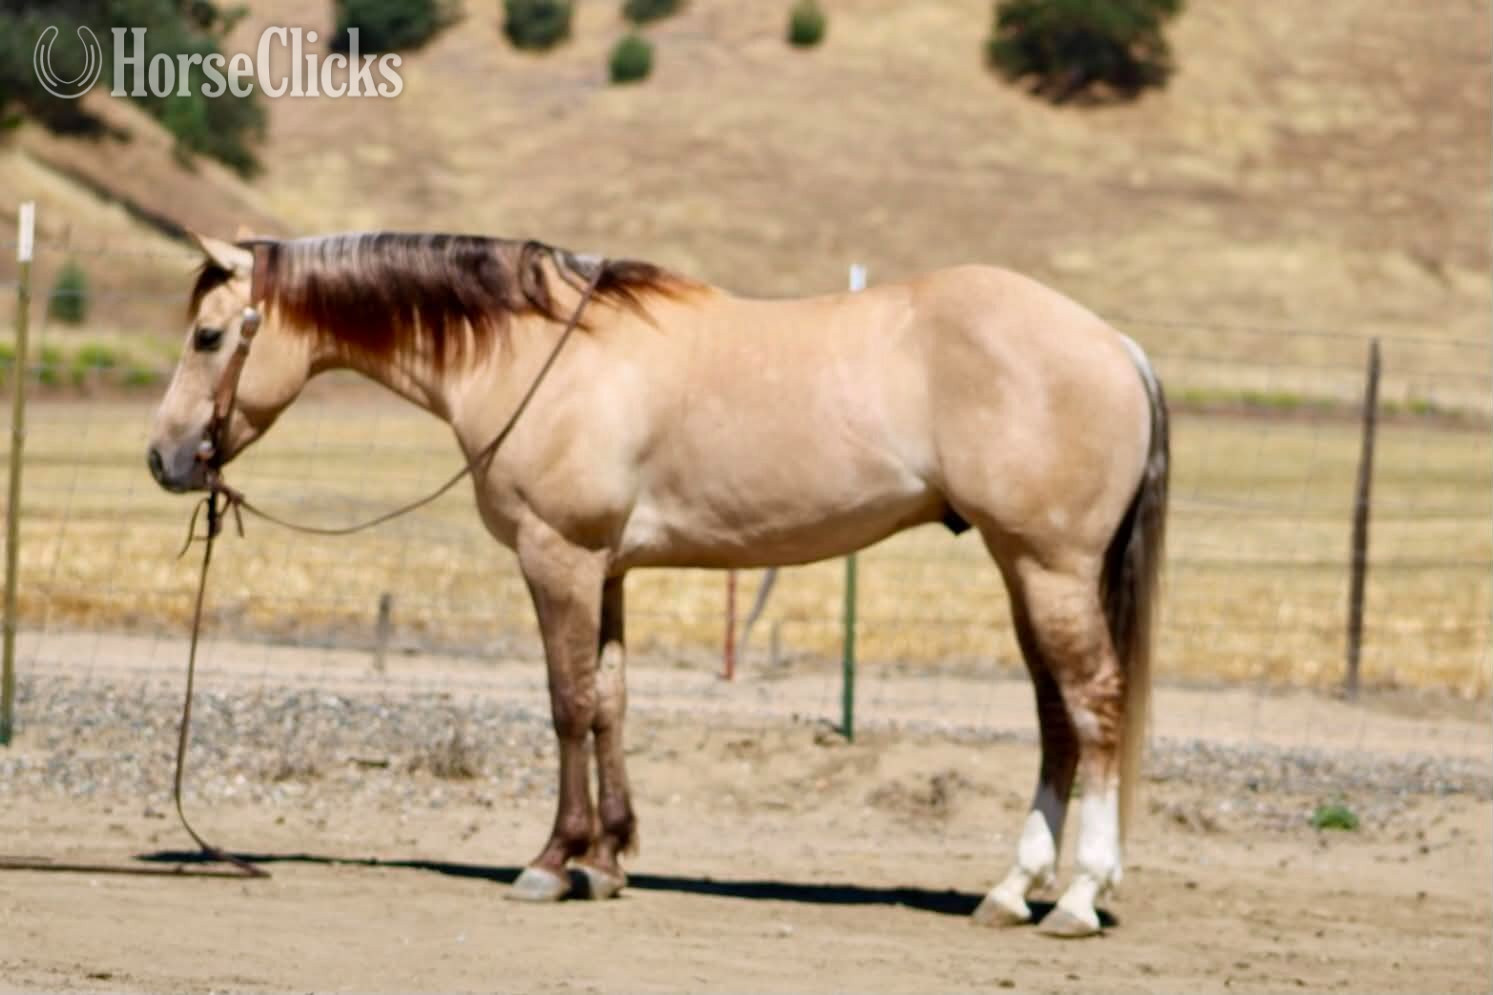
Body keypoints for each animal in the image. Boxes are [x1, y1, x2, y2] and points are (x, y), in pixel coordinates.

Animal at [147, 231, 1168, 937]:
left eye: (209, 334)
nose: (164, 457)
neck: (537, 353)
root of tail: (1118, 344)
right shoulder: (607, 570)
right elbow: (609, 702)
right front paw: (606, 861)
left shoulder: (556, 557)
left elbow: (565, 702)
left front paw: (551, 860)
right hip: (1021, 568)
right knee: (1055, 717)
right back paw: (1012, 889)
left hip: (1048, 567)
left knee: (1094, 706)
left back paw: (1078, 895)